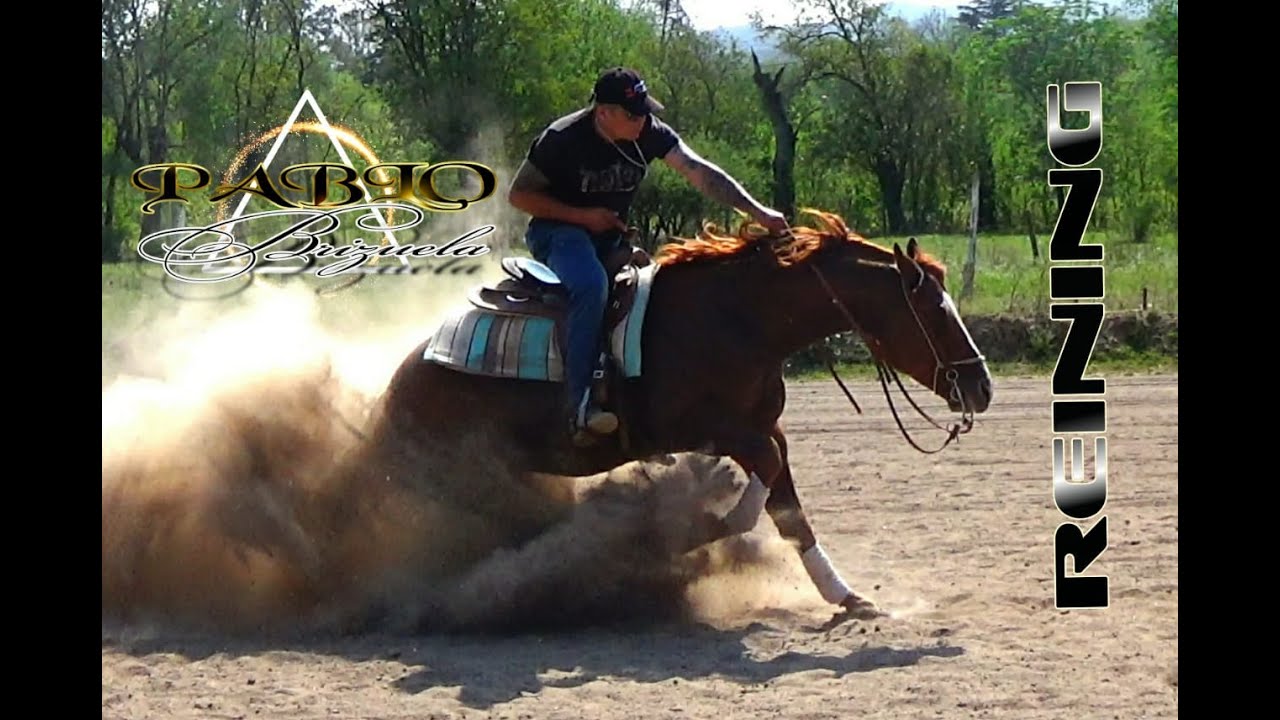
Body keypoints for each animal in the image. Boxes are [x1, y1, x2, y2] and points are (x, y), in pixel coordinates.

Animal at [365, 209, 993, 619]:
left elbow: (788, 508)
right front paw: (697, 529)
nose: (981, 386)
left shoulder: (763, 426)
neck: (738, 319)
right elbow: (760, 484)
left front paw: (844, 595)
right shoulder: (701, 428)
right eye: (932, 312)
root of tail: (400, 381)